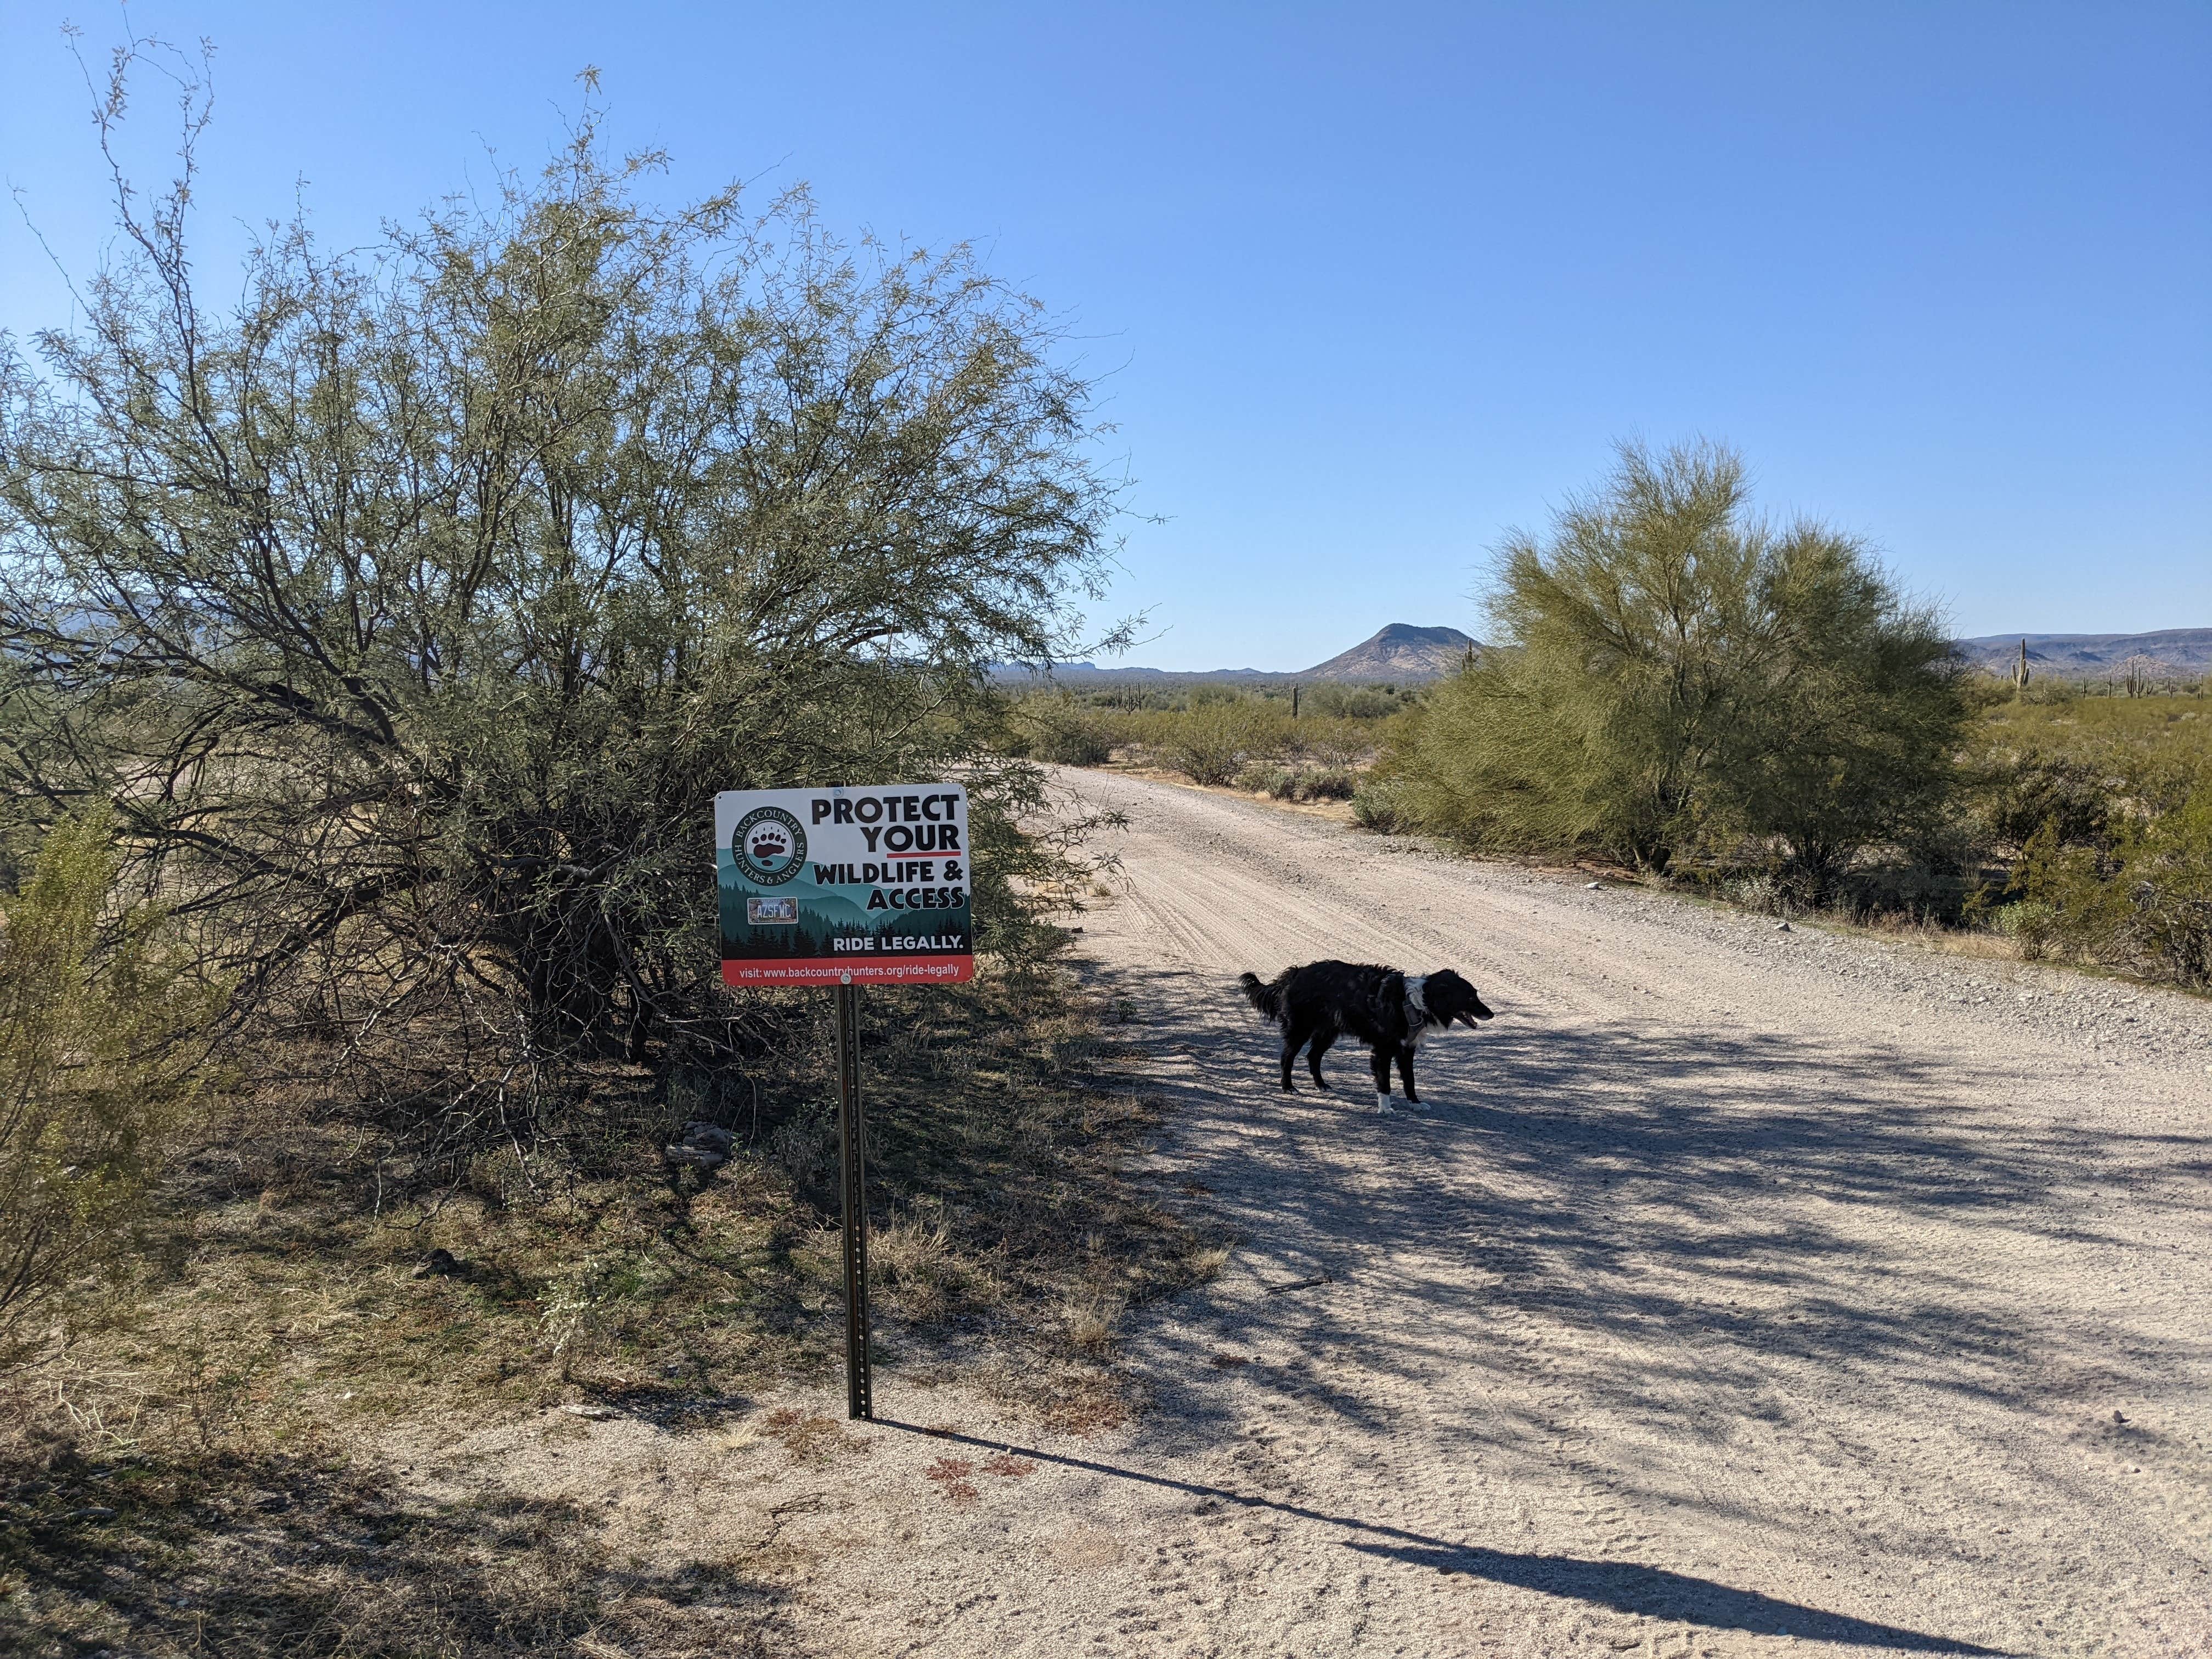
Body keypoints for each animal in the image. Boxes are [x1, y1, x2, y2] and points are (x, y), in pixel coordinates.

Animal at [1238, 960, 1495, 1119]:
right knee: (1287, 1058)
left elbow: (1409, 1080)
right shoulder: (1383, 1050)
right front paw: (1386, 1108)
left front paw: (1414, 1103)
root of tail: (1295, 973)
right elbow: (1385, 1082)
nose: (1491, 1014)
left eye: (1476, 994)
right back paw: (1288, 1087)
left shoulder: (1406, 1050)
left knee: (1313, 1057)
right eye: (1470, 998)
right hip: (1300, 1029)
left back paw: (1321, 1085)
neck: (1415, 1003)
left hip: (1328, 1031)